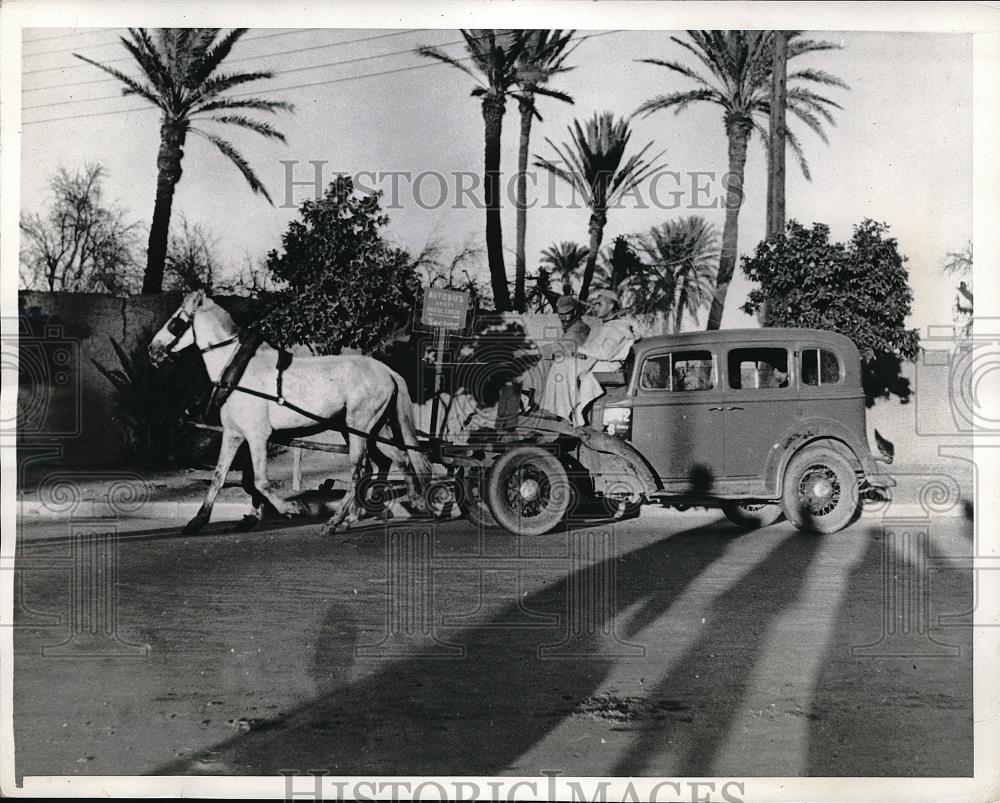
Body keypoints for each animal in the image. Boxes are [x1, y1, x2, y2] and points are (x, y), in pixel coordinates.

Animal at [148, 292, 430, 536]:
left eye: (176, 322)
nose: (152, 349)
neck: (238, 371)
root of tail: (386, 370)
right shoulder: (234, 434)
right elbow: (220, 476)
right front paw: (199, 521)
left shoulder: (257, 435)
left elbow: (259, 481)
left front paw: (291, 508)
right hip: (370, 429)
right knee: (396, 459)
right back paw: (379, 509)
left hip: (359, 426)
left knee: (360, 470)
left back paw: (336, 520)